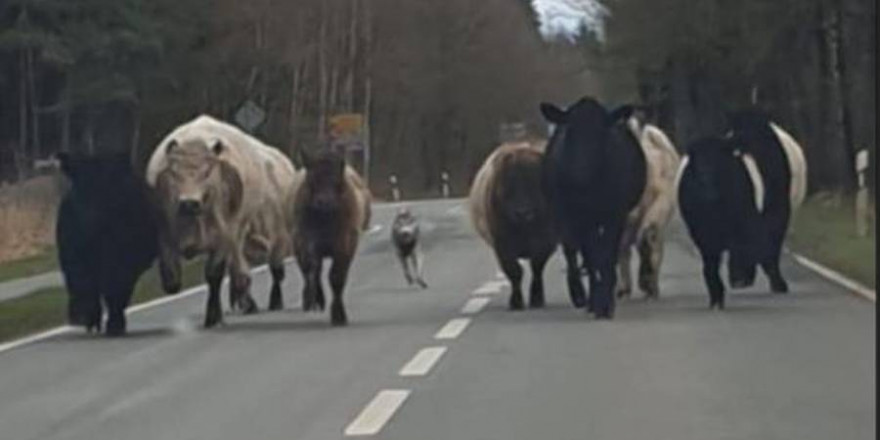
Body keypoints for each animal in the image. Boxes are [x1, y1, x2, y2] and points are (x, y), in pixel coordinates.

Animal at [55, 153, 158, 336]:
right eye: (76, 192)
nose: (90, 220)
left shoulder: (126, 259)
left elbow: (115, 289)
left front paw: (113, 324)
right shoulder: (72, 253)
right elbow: (82, 282)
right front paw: (86, 317)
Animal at [290, 150, 370, 324]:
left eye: (337, 180)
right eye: (312, 180)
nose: (324, 201)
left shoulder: (345, 245)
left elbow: (336, 277)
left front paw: (339, 314)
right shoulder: (306, 241)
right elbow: (312, 270)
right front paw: (315, 299)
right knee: (310, 272)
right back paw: (313, 299)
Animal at [468, 141, 556, 310]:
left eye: (534, 184)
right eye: (508, 186)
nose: (522, 212)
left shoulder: (545, 241)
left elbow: (537, 267)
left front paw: (537, 299)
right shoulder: (502, 245)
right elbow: (514, 271)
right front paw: (516, 301)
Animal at [536, 98, 648, 318]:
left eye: (601, 132)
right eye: (570, 130)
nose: (580, 170)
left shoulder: (615, 214)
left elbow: (605, 255)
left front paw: (605, 304)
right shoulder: (576, 218)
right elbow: (590, 254)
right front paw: (595, 301)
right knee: (577, 252)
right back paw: (583, 297)